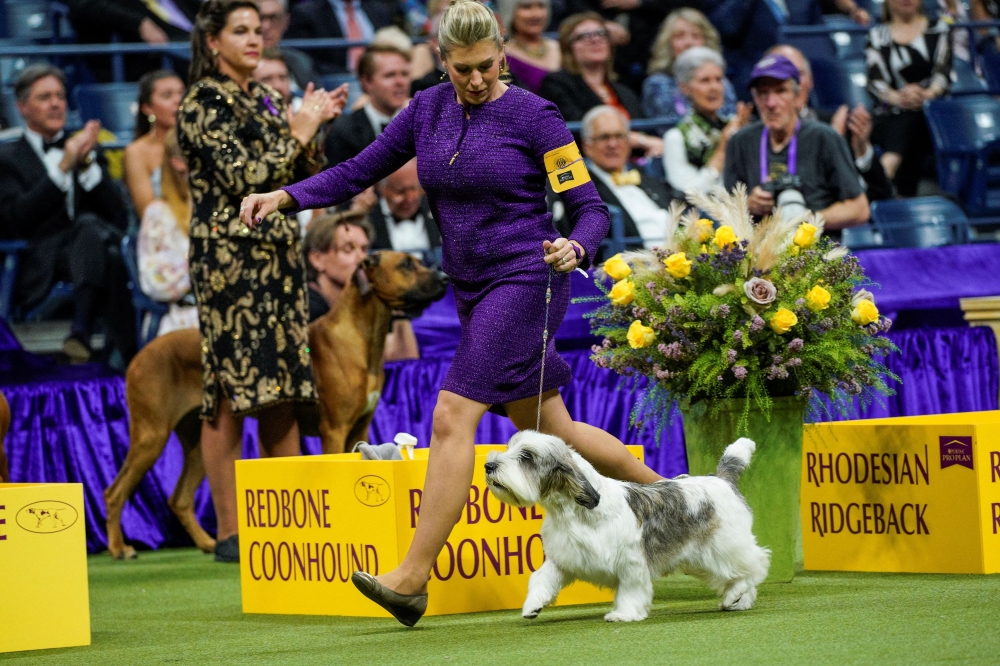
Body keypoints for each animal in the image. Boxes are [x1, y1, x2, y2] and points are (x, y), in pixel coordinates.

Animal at [104, 252, 446, 556]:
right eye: (406, 264)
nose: (444, 277)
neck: (362, 339)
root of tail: (138, 356)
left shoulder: (360, 427)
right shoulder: (334, 429)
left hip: (196, 442)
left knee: (180, 499)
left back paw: (208, 544)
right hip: (151, 435)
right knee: (114, 492)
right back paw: (120, 549)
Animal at [484, 428, 772, 620]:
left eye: (526, 457)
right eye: (511, 447)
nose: (488, 465)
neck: (572, 512)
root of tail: (721, 478)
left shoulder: (630, 562)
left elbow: (631, 589)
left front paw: (624, 614)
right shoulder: (564, 559)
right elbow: (541, 578)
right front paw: (532, 605)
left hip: (725, 546)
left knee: (756, 565)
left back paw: (736, 595)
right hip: (702, 559)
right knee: (737, 575)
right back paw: (738, 601)